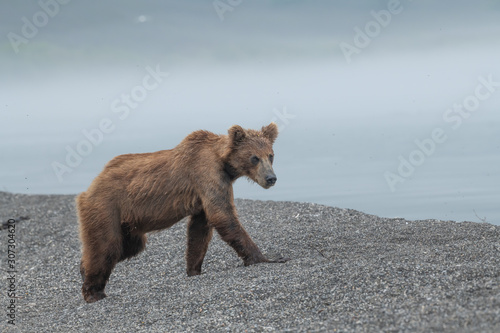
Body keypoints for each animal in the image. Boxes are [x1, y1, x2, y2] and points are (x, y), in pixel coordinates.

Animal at [76, 122, 288, 300]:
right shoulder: (206, 174)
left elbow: (199, 229)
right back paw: (93, 292)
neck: (225, 164)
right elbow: (222, 215)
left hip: (127, 223)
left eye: (271, 155)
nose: (271, 178)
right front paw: (266, 258)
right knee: (108, 246)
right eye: (254, 157)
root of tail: (91, 185)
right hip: (106, 207)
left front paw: (194, 269)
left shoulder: (203, 194)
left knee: (129, 246)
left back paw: (83, 269)